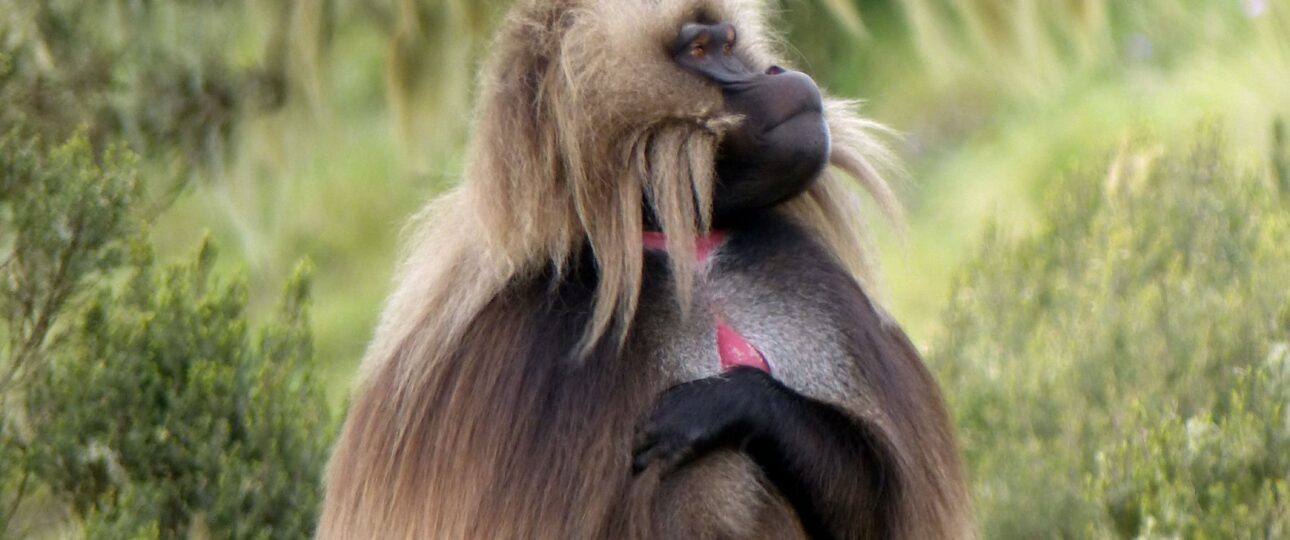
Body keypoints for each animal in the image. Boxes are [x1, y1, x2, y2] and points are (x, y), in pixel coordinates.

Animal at [318, 1, 972, 539]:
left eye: (729, 40)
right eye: (700, 51)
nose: (777, 75)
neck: (681, 250)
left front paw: (728, 401)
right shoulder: (518, 344)